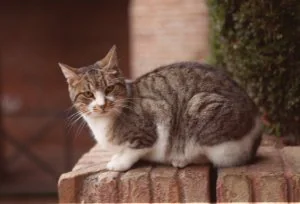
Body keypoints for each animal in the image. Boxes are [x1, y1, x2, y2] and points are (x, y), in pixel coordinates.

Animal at [59, 45, 262, 171]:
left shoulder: (154, 120)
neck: (103, 122)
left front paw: (120, 162)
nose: (102, 104)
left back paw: (181, 159)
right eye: (88, 94)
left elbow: (133, 149)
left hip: (200, 108)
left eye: (109, 88)